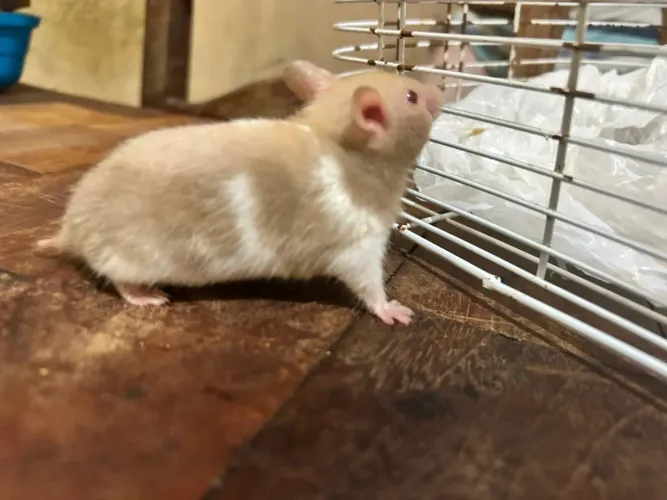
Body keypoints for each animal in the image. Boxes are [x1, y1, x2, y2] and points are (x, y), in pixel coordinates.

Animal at [37, 60, 442, 326]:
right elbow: (369, 284)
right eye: (411, 96)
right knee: (117, 277)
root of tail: (71, 230)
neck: (335, 136)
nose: (439, 89)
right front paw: (395, 311)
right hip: (129, 256)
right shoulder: (357, 241)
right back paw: (145, 295)